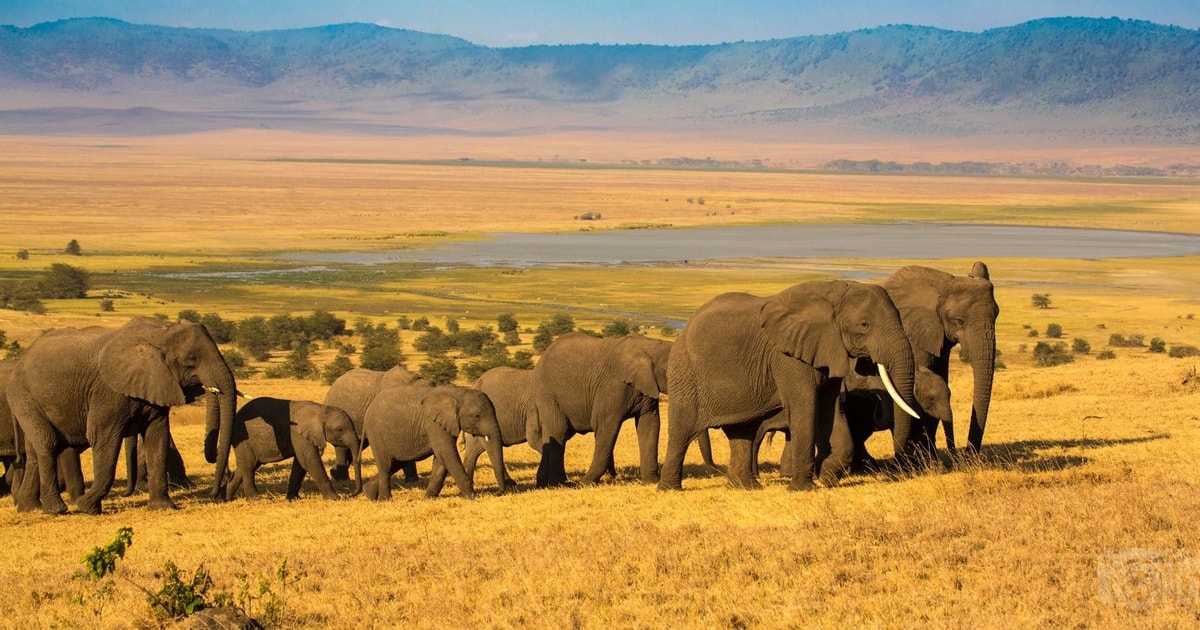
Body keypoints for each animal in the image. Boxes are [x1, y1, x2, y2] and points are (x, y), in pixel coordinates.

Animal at [5, 316, 236, 513]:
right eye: (191, 358)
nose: (216, 495)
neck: (158, 334)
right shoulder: (107, 392)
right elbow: (103, 438)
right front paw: (87, 507)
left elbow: (157, 438)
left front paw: (163, 507)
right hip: (23, 396)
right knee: (47, 444)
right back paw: (57, 510)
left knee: (35, 451)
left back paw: (29, 508)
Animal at [226, 398, 362, 501]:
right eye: (340, 429)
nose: (351, 494)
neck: (321, 410)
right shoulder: (298, 434)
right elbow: (309, 461)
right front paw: (335, 498)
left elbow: (300, 464)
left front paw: (293, 498)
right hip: (243, 438)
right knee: (249, 465)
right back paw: (255, 498)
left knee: (246, 465)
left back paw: (227, 497)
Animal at [357, 381, 504, 499]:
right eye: (477, 416)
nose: (499, 493)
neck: (459, 393)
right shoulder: (433, 423)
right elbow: (446, 453)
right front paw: (472, 497)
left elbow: (441, 459)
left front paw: (428, 498)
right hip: (376, 433)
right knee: (386, 465)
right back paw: (385, 500)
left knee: (397, 463)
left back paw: (369, 494)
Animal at [530, 331, 672, 489]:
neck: (651, 346)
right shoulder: (612, 386)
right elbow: (605, 426)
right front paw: (584, 484)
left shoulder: (647, 386)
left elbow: (649, 424)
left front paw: (651, 481)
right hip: (546, 392)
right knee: (559, 431)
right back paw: (560, 484)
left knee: (550, 433)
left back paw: (543, 484)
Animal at [657, 279, 916, 492]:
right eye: (864, 325)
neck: (833, 291)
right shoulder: (786, 357)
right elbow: (805, 406)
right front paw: (803, 488)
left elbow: (829, 408)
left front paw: (826, 478)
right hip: (685, 371)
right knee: (682, 431)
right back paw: (670, 489)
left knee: (743, 431)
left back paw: (745, 487)